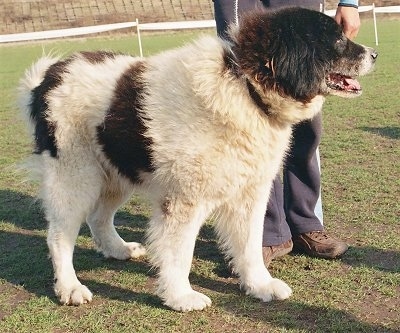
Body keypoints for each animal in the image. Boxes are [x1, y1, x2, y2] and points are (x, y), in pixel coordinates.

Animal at [18, 7, 376, 310]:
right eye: (337, 40)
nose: (375, 53)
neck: (245, 87)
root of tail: (47, 78)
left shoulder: (250, 193)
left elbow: (250, 245)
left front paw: (259, 285)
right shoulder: (185, 200)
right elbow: (179, 253)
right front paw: (181, 297)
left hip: (115, 173)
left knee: (98, 217)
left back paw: (119, 250)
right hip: (76, 177)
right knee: (59, 236)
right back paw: (70, 287)